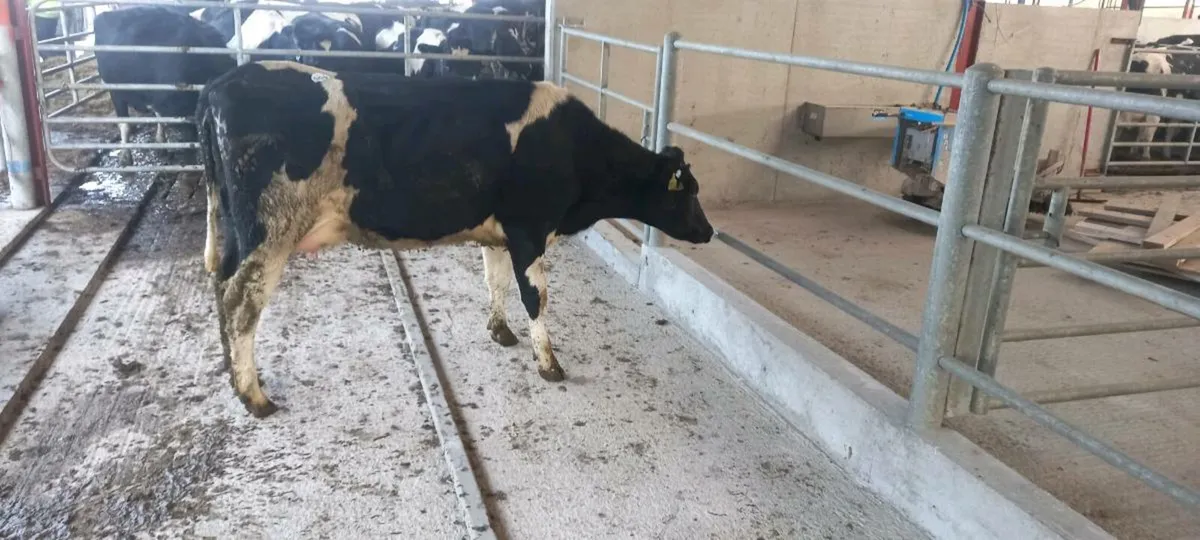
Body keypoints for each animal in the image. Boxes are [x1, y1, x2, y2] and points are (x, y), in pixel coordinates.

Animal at [196, 61, 714, 417]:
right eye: (688, 191)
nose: (709, 231)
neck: (573, 149)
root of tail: (221, 84)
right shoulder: (529, 229)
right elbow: (536, 297)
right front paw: (548, 363)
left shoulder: (499, 233)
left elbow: (495, 281)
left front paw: (500, 331)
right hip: (270, 233)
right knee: (242, 302)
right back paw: (255, 395)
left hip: (231, 230)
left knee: (220, 289)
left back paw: (233, 376)